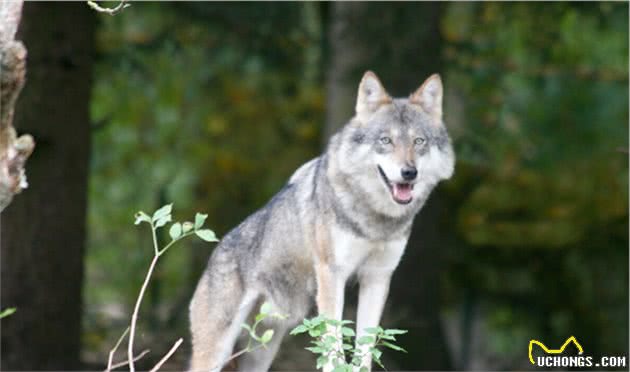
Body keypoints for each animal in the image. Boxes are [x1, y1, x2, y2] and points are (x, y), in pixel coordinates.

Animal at [190, 71, 456, 370]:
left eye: (419, 141)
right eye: (385, 140)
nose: (409, 173)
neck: (375, 222)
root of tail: (215, 252)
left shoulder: (377, 277)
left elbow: (365, 348)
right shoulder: (332, 274)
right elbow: (334, 343)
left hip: (263, 349)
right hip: (217, 352)